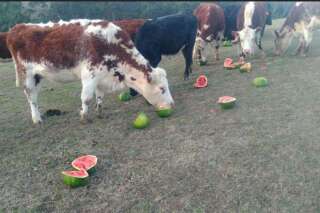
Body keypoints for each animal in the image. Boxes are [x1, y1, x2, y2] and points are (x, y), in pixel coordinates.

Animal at [5, 19, 175, 125]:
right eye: (162, 88)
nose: (172, 104)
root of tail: (17, 27)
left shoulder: (102, 77)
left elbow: (99, 96)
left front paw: (100, 112)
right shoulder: (89, 74)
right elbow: (86, 98)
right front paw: (84, 117)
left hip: (38, 75)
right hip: (27, 75)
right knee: (31, 97)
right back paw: (37, 119)